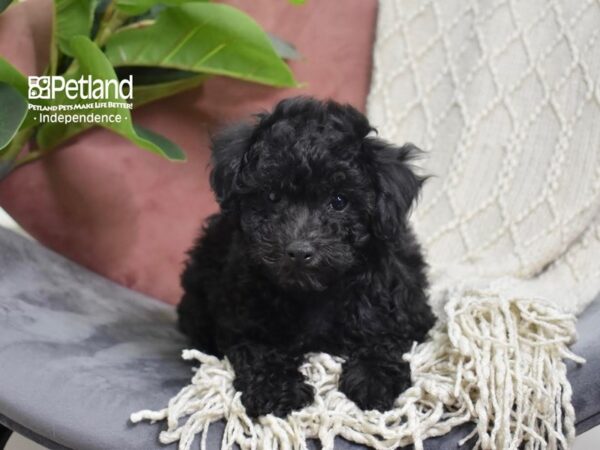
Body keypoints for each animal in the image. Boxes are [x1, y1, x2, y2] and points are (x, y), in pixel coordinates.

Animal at [178, 96, 436, 416]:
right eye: (272, 197)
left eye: (339, 201)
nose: (300, 252)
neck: (314, 293)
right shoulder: (241, 316)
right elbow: (258, 350)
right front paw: (278, 390)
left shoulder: (401, 307)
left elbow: (383, 337)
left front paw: (374, 380)